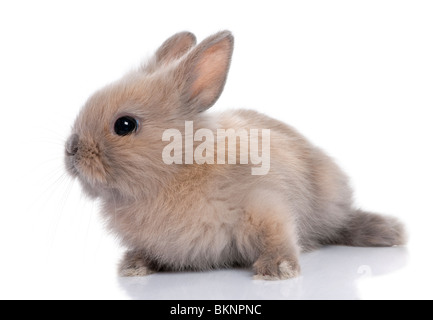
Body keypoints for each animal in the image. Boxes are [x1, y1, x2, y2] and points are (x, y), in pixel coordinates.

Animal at [64, 30, 404, 280]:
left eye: (125, 125)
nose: (71, 150)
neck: (179, 168)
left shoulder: (265, 206)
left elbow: (278, 236)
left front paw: (277, 270)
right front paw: (134, 266)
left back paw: (389, 232)